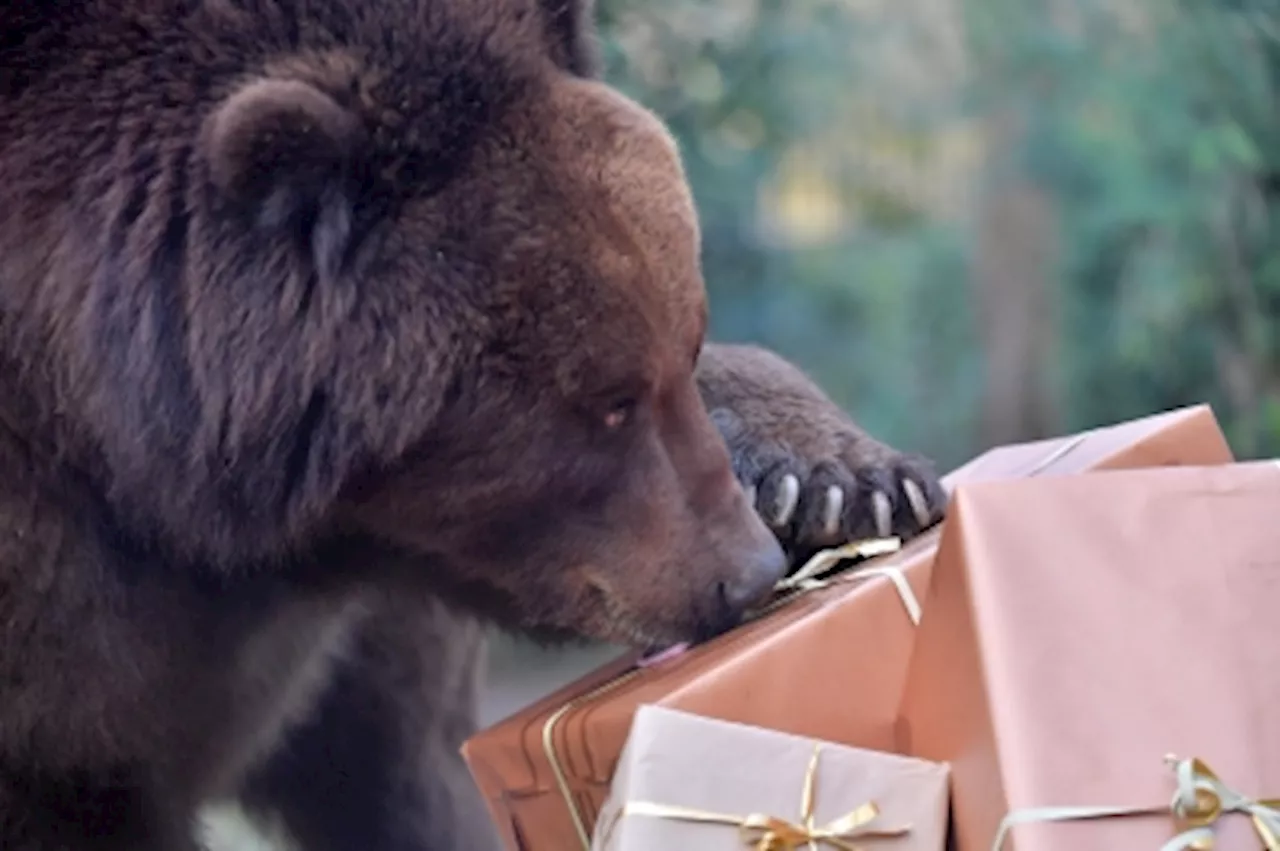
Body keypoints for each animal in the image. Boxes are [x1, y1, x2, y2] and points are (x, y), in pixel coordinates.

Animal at [0, 1, 942, 849]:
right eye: (605, 400)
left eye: (685, 343)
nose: (746, 572)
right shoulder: (67, 628)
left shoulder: (366, 609)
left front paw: (838, 485)